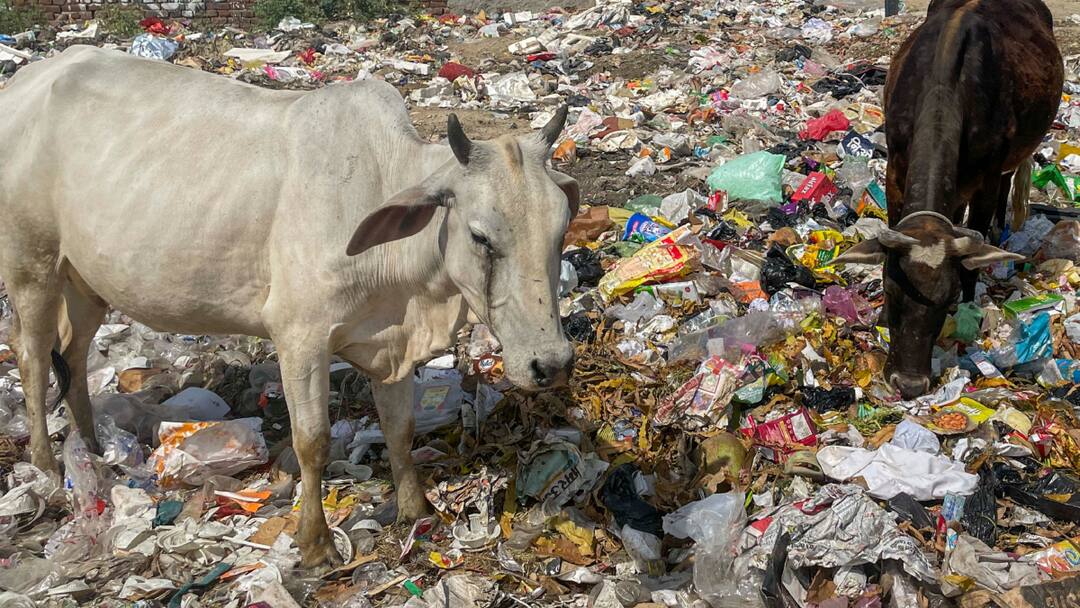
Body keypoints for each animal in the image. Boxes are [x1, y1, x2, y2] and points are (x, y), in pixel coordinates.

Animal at [0, 45, 578, 566]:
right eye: (481, 237)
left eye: (560, 231)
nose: (551, 364)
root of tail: (28, 80)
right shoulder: (300, 336)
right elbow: (312, 441)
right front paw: (315, 543)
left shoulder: (389, 343)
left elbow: (400, 428)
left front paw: (415, 510)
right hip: (32, 264)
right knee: (32, 357)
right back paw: (47, 468)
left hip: (85, 281)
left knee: (73, 357)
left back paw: (93, 450)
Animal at [831, 0, 1063, 398]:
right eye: (890, 290)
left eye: (949, 298)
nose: (909, 384)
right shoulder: (895, 167)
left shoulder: (985, 180)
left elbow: (974, 245)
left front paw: (969, 312)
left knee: (1003, 193)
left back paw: (1001, 229)